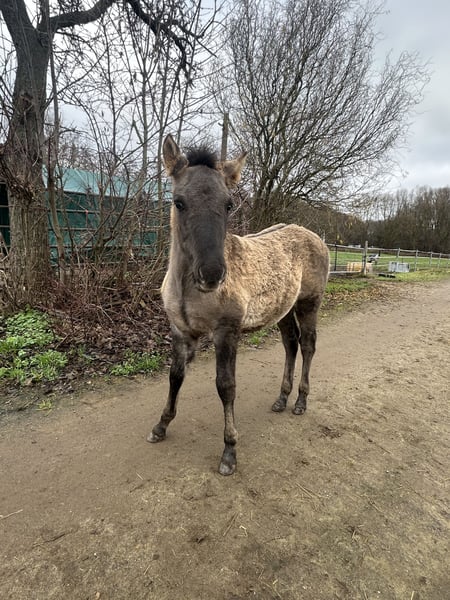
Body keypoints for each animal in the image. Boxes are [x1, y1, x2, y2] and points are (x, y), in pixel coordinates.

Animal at [148, 134, 330, 475]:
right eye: (179, 202)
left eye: (228, 204)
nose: (212, 274)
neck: (187, 288)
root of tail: (317, 238)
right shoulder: (179, 330)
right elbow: (175, 376)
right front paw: (161, 426)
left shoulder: (226, 332)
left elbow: (226, 386)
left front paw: (229, 451)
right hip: (283, 310)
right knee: (291, 344)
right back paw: (281, 399)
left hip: (308, 303)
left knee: (308, 345)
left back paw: (300, 401)